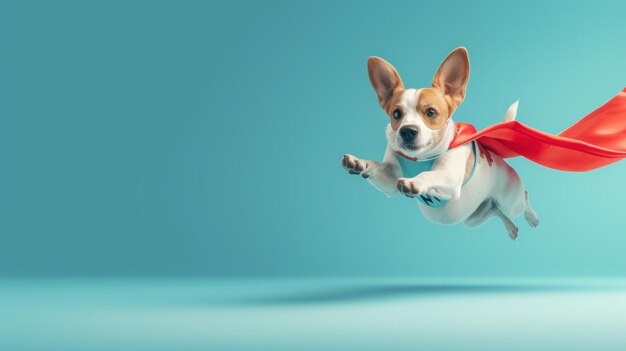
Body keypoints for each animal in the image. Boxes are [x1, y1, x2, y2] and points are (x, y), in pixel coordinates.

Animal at [342, 47, 536, 239]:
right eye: (396, 114)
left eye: (431, 112)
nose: (407, 130)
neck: (419, 158)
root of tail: (499, 159)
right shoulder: (390, 182)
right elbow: (376, 166)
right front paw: (359, 163)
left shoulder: (449, 179)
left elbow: (429, 175)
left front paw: (415, 182)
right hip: (474, 217)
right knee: (496, 211)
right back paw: (511, 227)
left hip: (511, 202)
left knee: (522, 199)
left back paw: (532, 218)